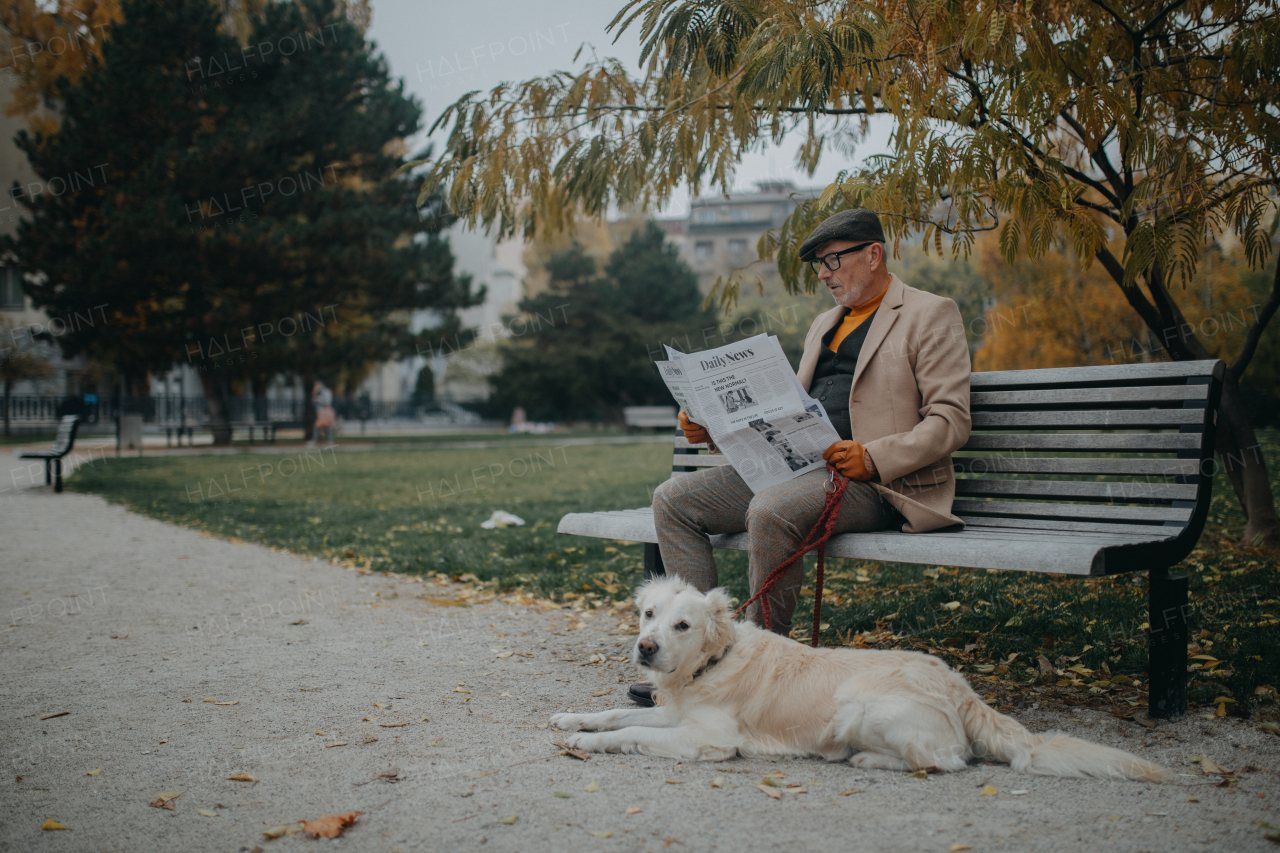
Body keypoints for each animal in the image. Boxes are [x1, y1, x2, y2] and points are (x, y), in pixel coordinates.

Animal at [550, 573, 1172, 778]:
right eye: (648, 615)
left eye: (682, 625)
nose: (645, 648)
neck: (709, 662)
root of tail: (961, 687)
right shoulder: (673, 712)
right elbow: (618, 712)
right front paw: (573, 719)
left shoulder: (709, 738)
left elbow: (632, 731)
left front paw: (587, 742)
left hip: (861, 708)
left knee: (946, 761)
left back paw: (867, 759)